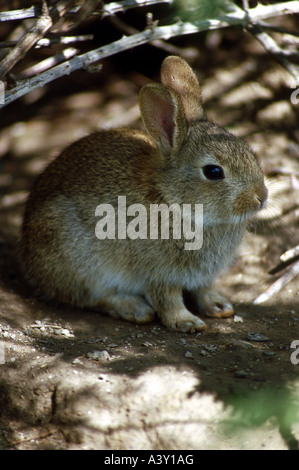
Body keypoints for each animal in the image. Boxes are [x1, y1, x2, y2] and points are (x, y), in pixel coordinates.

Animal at [21, 55, 270, 332]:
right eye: (214, 171)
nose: (261, 197)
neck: (171, 199)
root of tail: (29, 261)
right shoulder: (158, 273)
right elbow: (168, 300)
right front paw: (187, 322)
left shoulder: (201, 276)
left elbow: (203, 290)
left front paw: (218, 306)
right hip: (75, 258)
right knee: (90, 297)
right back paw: (133, 308)